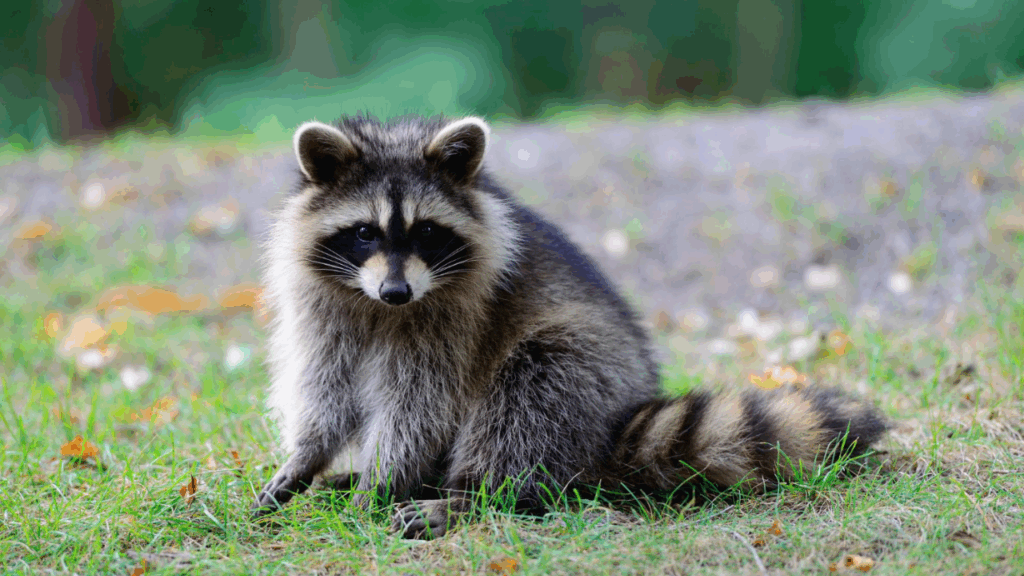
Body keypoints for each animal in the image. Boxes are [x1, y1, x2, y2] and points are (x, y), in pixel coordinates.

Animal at [253, 114, 888, 539]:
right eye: (364, 232)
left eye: (427, 232)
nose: (396, 291)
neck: (379, 307)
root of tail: (619, 420)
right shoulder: (324, 305)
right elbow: (326, 388)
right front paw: (308, 457)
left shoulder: (454, 318)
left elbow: (419, 405)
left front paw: (384, 481)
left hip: (584, 368)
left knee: (529, 397)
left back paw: (471, 494)